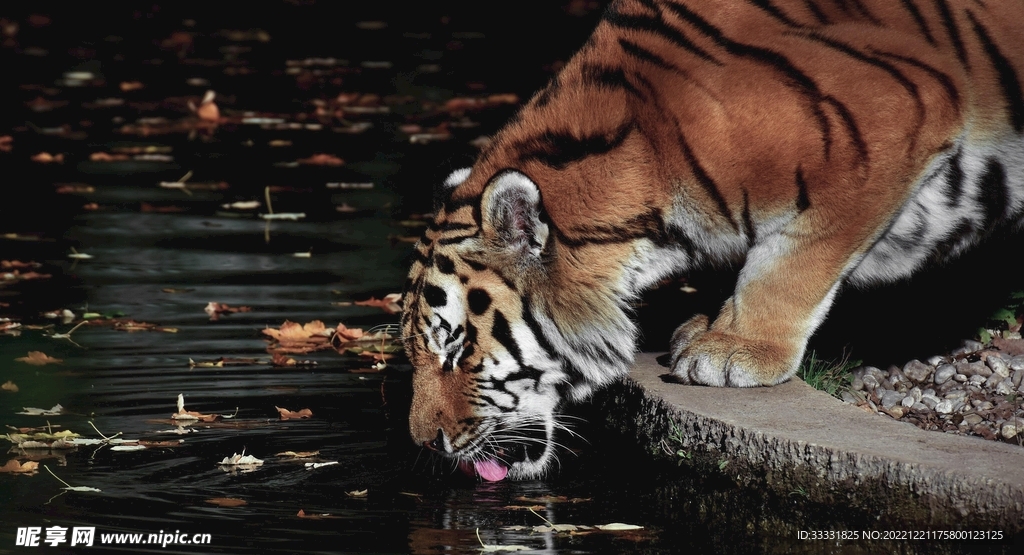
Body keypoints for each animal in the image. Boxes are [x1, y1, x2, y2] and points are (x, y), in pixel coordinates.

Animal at [401, 0, 1024, 481]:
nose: (423, 443)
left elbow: (793, 261)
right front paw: (706, 324)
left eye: (455, 349)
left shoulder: (892, 123)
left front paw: (735, 348)